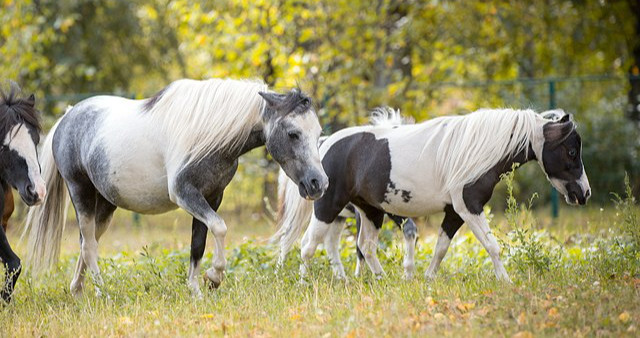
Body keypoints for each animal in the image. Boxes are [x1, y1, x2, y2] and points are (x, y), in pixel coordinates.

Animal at [22, 78, 328, 296]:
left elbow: (198, 243)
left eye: (318, 133)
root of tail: (67, 117)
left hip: (106, 204)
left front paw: (196, 289)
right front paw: (214, 277)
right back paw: (101, 292)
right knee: (88, 245)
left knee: (89, 242)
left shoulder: (211, 197)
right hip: (81, 193)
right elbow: (220, 228)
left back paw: (77, 289)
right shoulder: (185, 194)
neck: (208, 133)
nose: (319, 183)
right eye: (293, 133)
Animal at [276, 107, 592, 282]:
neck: (475, 151)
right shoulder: (469, 207)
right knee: (307, 245)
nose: (584, 194)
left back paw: (381, 279)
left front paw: (426, 278)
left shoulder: (455, 213)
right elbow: (492, 246)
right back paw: (305, 283)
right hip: (328, 208)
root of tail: (325, 144)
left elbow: (441, 247)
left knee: (365, 246)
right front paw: (507, 282)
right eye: (571, 151)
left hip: (370, 211)